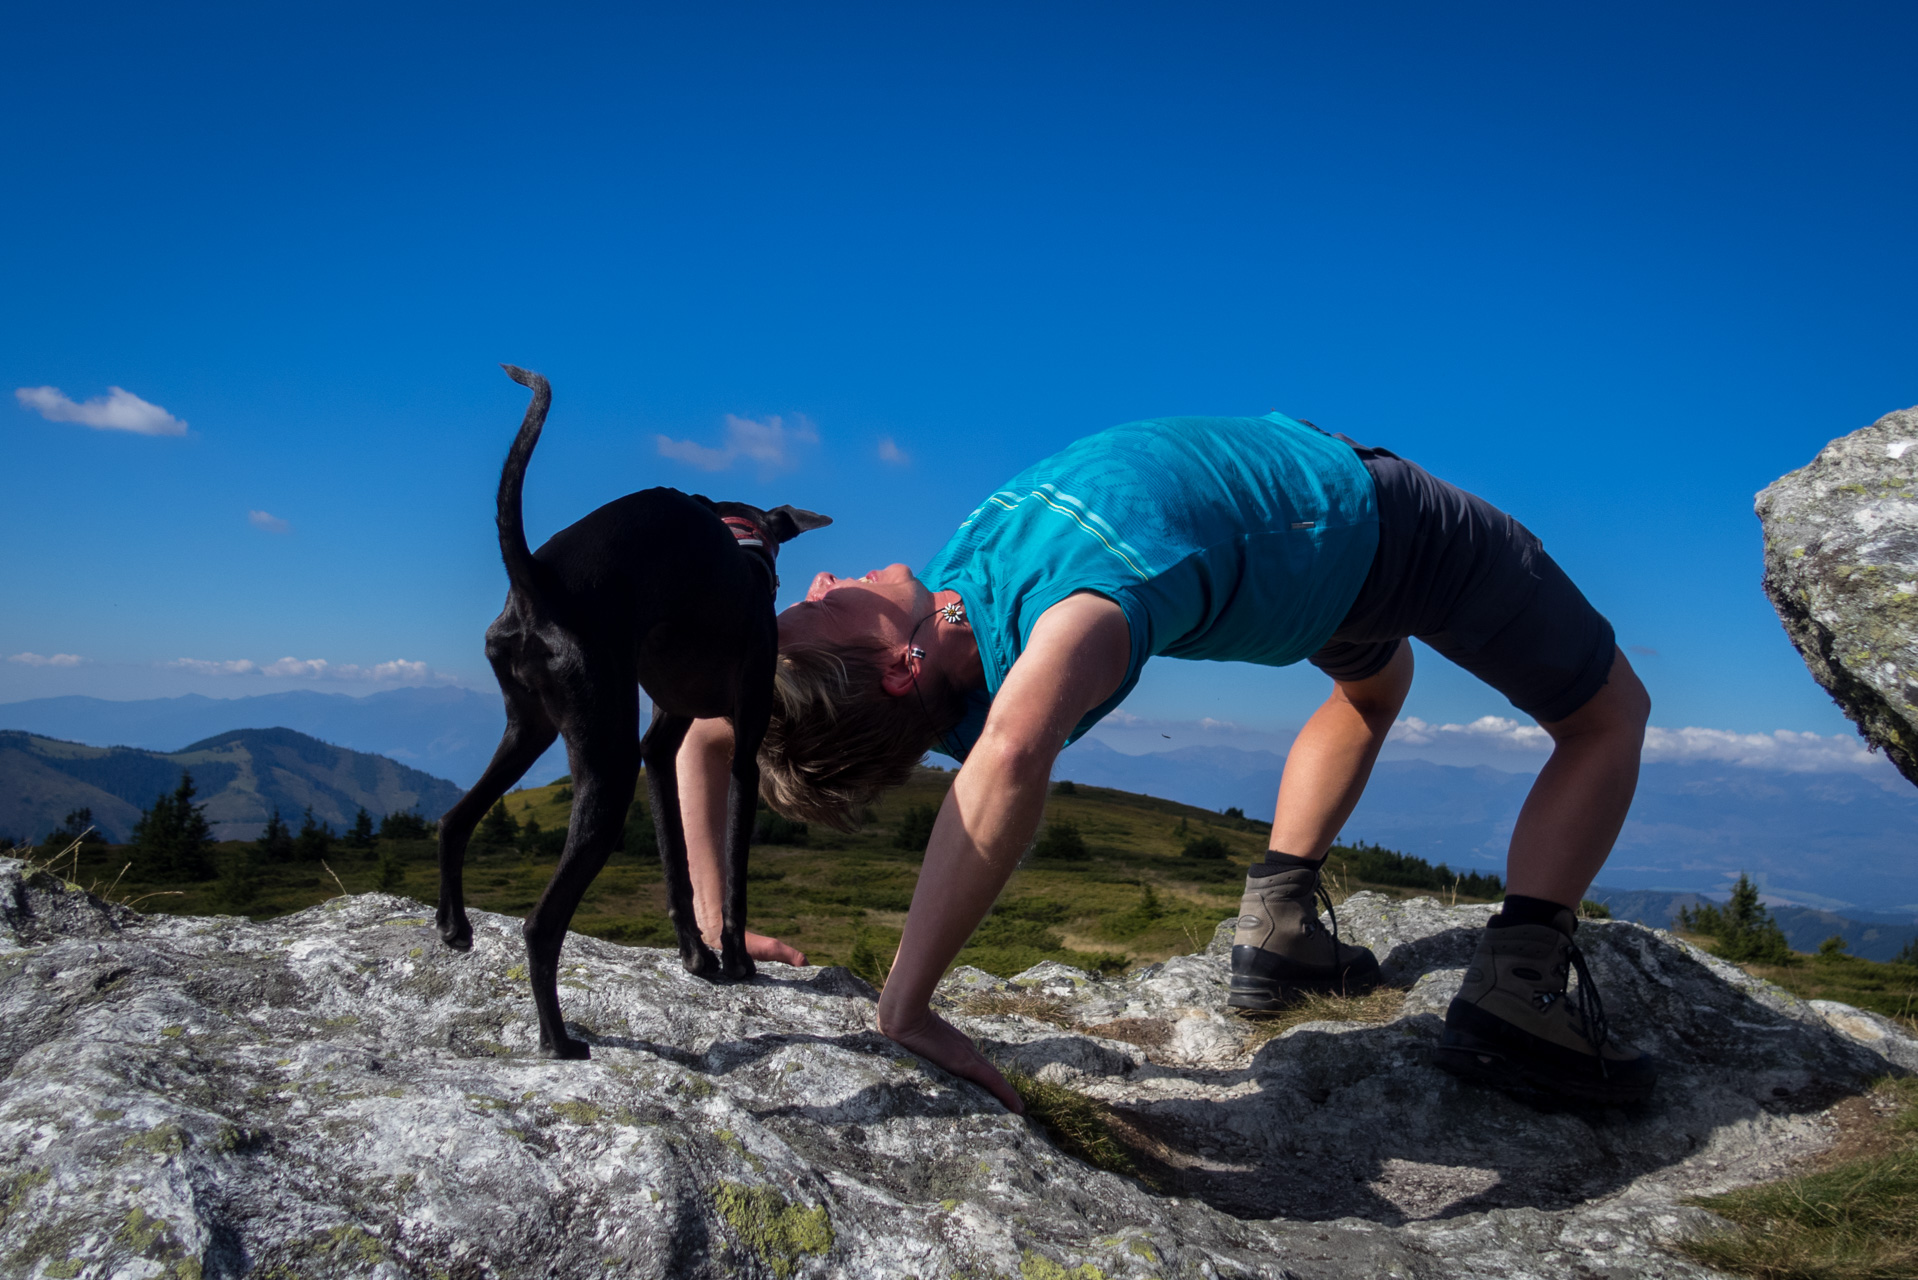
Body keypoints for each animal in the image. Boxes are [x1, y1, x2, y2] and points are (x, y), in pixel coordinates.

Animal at [439, 362, 828, 1059]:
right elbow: (732, 867)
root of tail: (538, 580)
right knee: (540, 924)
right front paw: (736, 960)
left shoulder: (661, 743)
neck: (741, 550)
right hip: (608, 763)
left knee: (454, 820)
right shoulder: (743, 750)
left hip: (531, 731)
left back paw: (455, 928)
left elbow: (676, 861)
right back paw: (558, 1039)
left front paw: (695, 957)